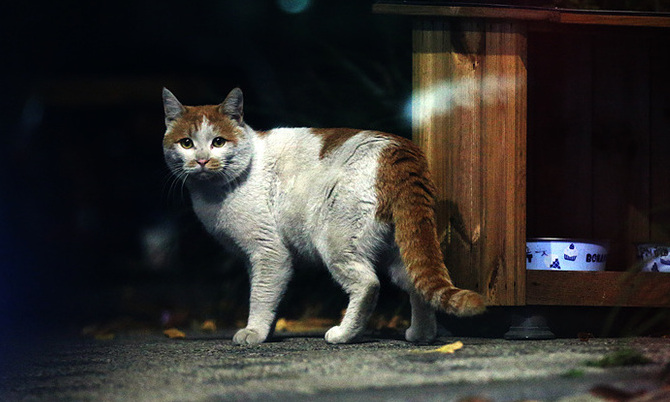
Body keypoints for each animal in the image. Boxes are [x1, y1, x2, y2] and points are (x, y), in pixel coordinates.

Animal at [163, 86, 488, 344]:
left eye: (218, 141)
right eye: (186, 143)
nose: (202, 160)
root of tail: (399, 150)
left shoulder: (269, 253)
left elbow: (261, 295)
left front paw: (253, 333)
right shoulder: (252, 258)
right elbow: (267, 295)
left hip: (336, 241)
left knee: (368, 285)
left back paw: (343, 335)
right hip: (399, 250)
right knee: (417, 286)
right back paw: (421, 335)